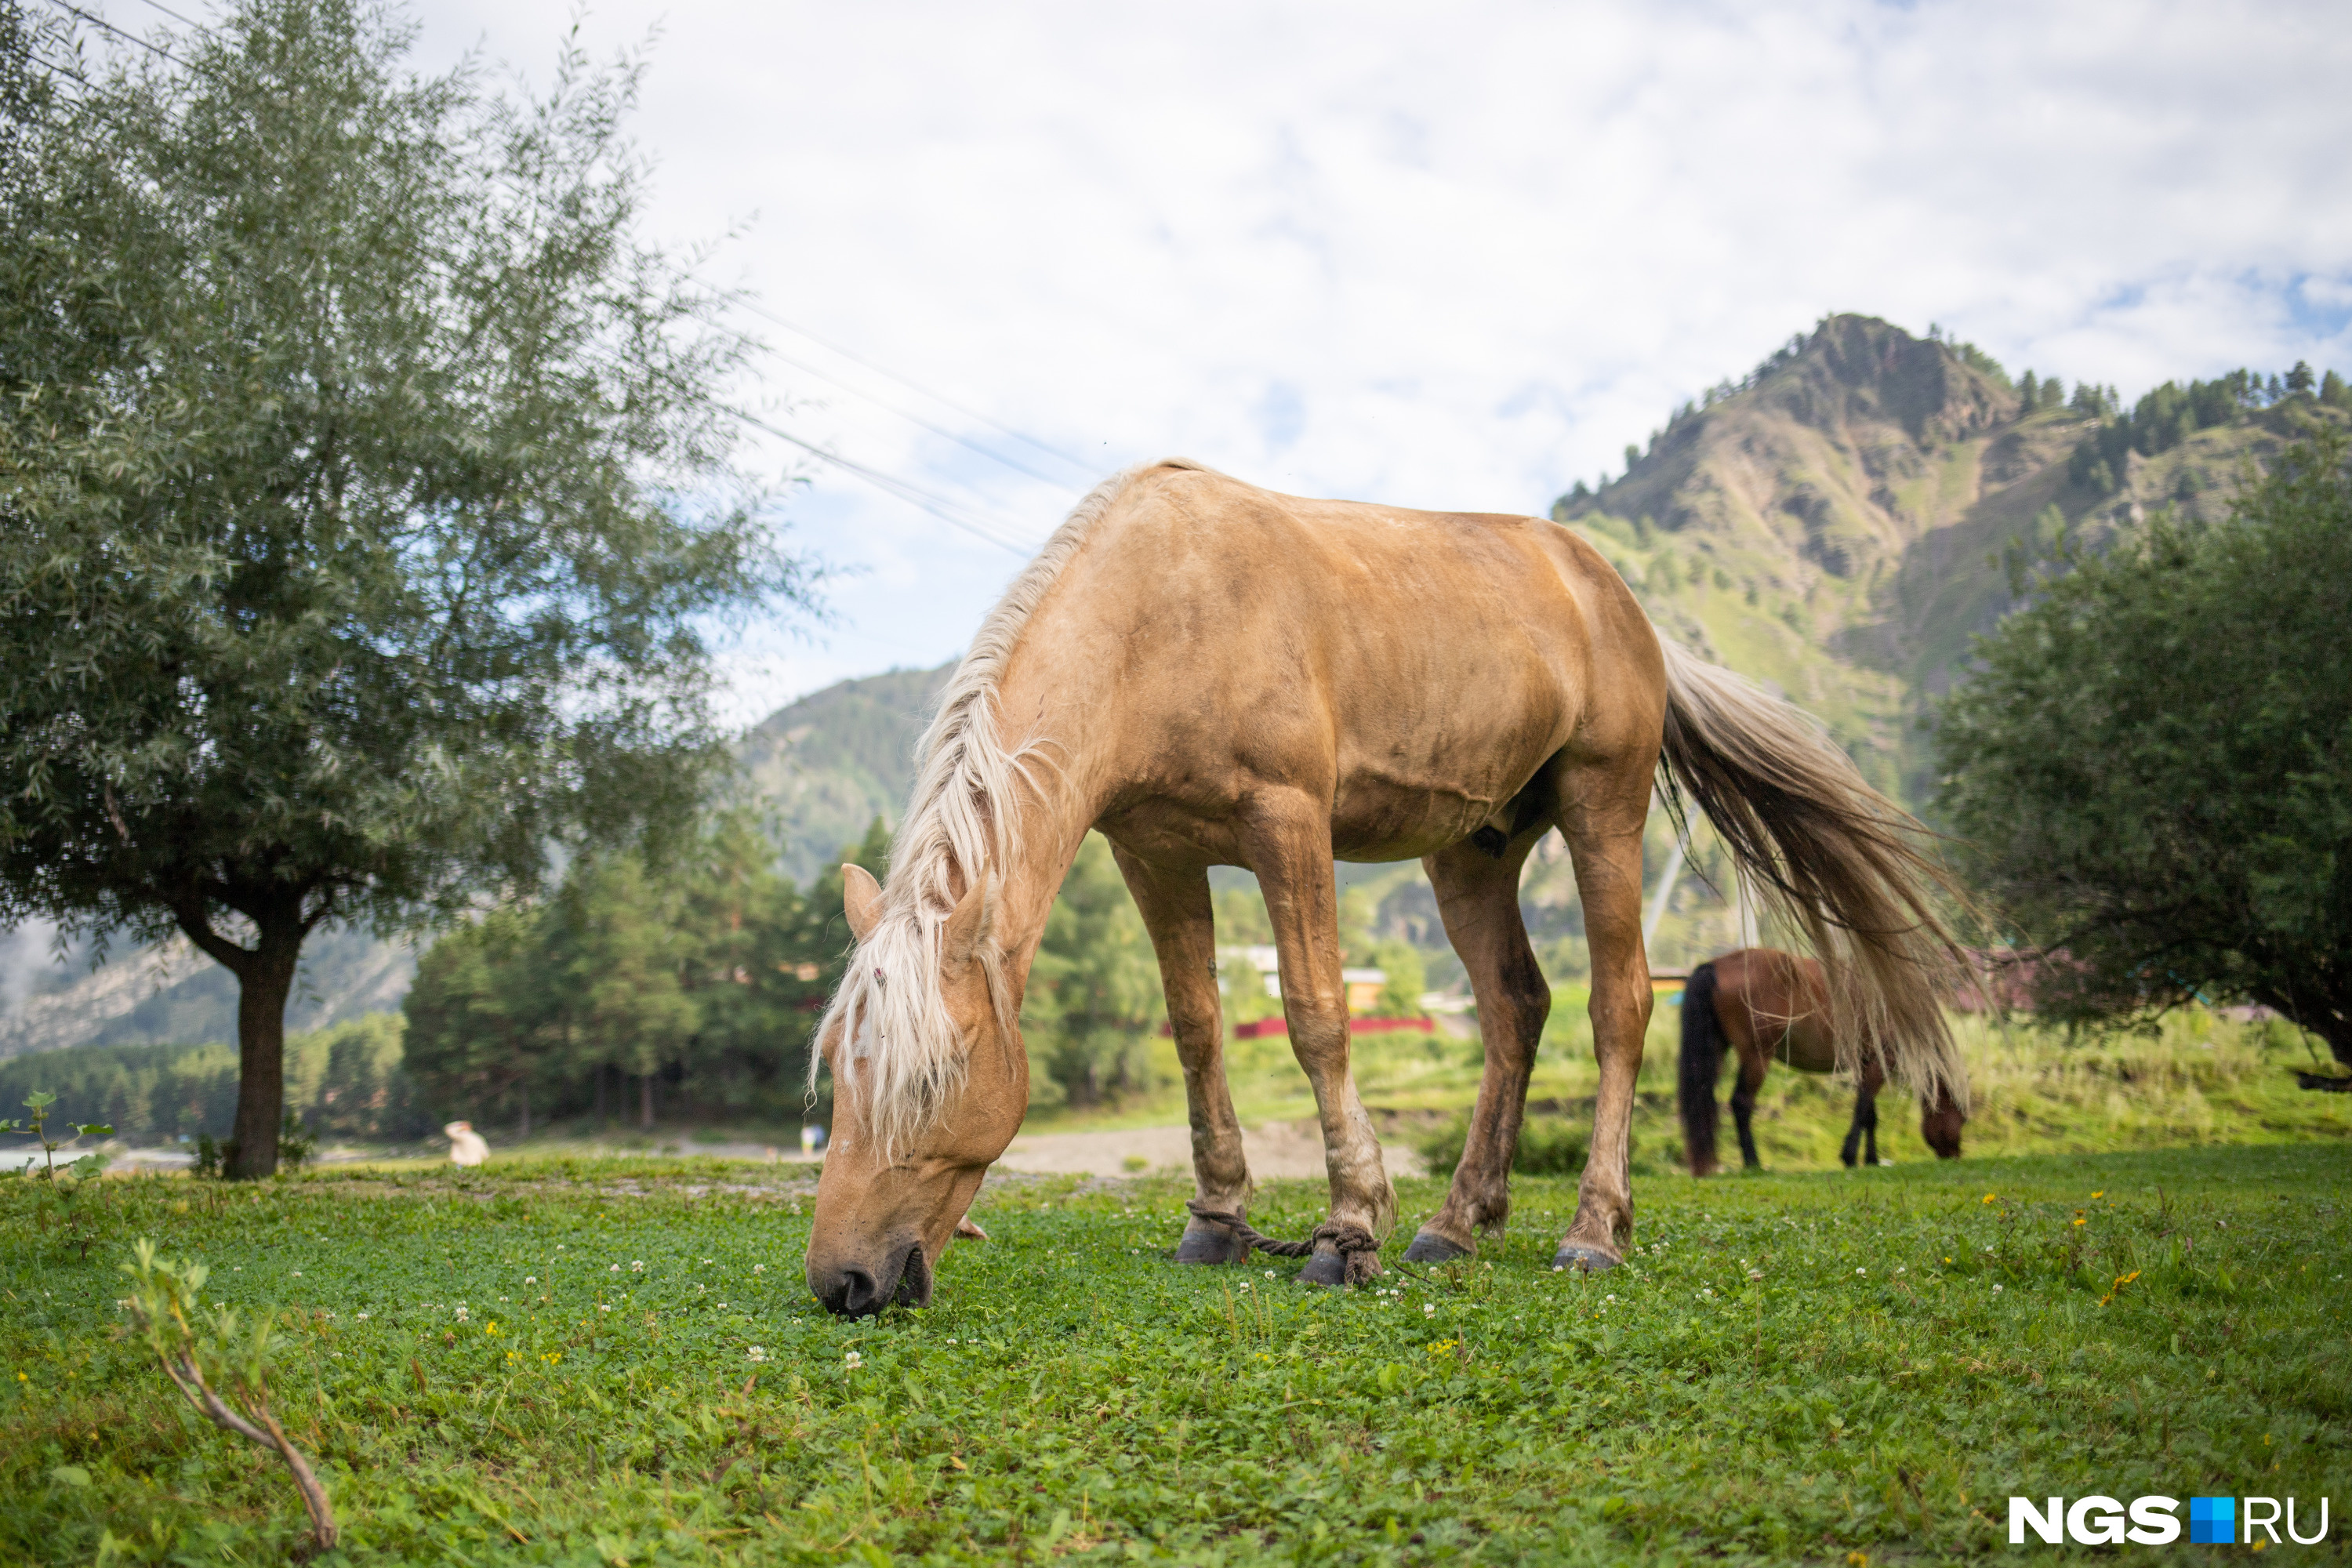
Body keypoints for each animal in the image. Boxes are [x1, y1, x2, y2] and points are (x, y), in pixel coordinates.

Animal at [1675, 945, 1966, 1175]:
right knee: (1741, 1104)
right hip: (1757, 1057)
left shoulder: (1865, 1065)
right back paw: (1753, 1162)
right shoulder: (1880, 1063)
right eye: (1962, 1118)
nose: (1955, 1156)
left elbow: (1869, 1115)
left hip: (1717, 1050)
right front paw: (1850, 1157)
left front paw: (1870, 1159)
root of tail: (1714, 965)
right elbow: (1862, 1110)